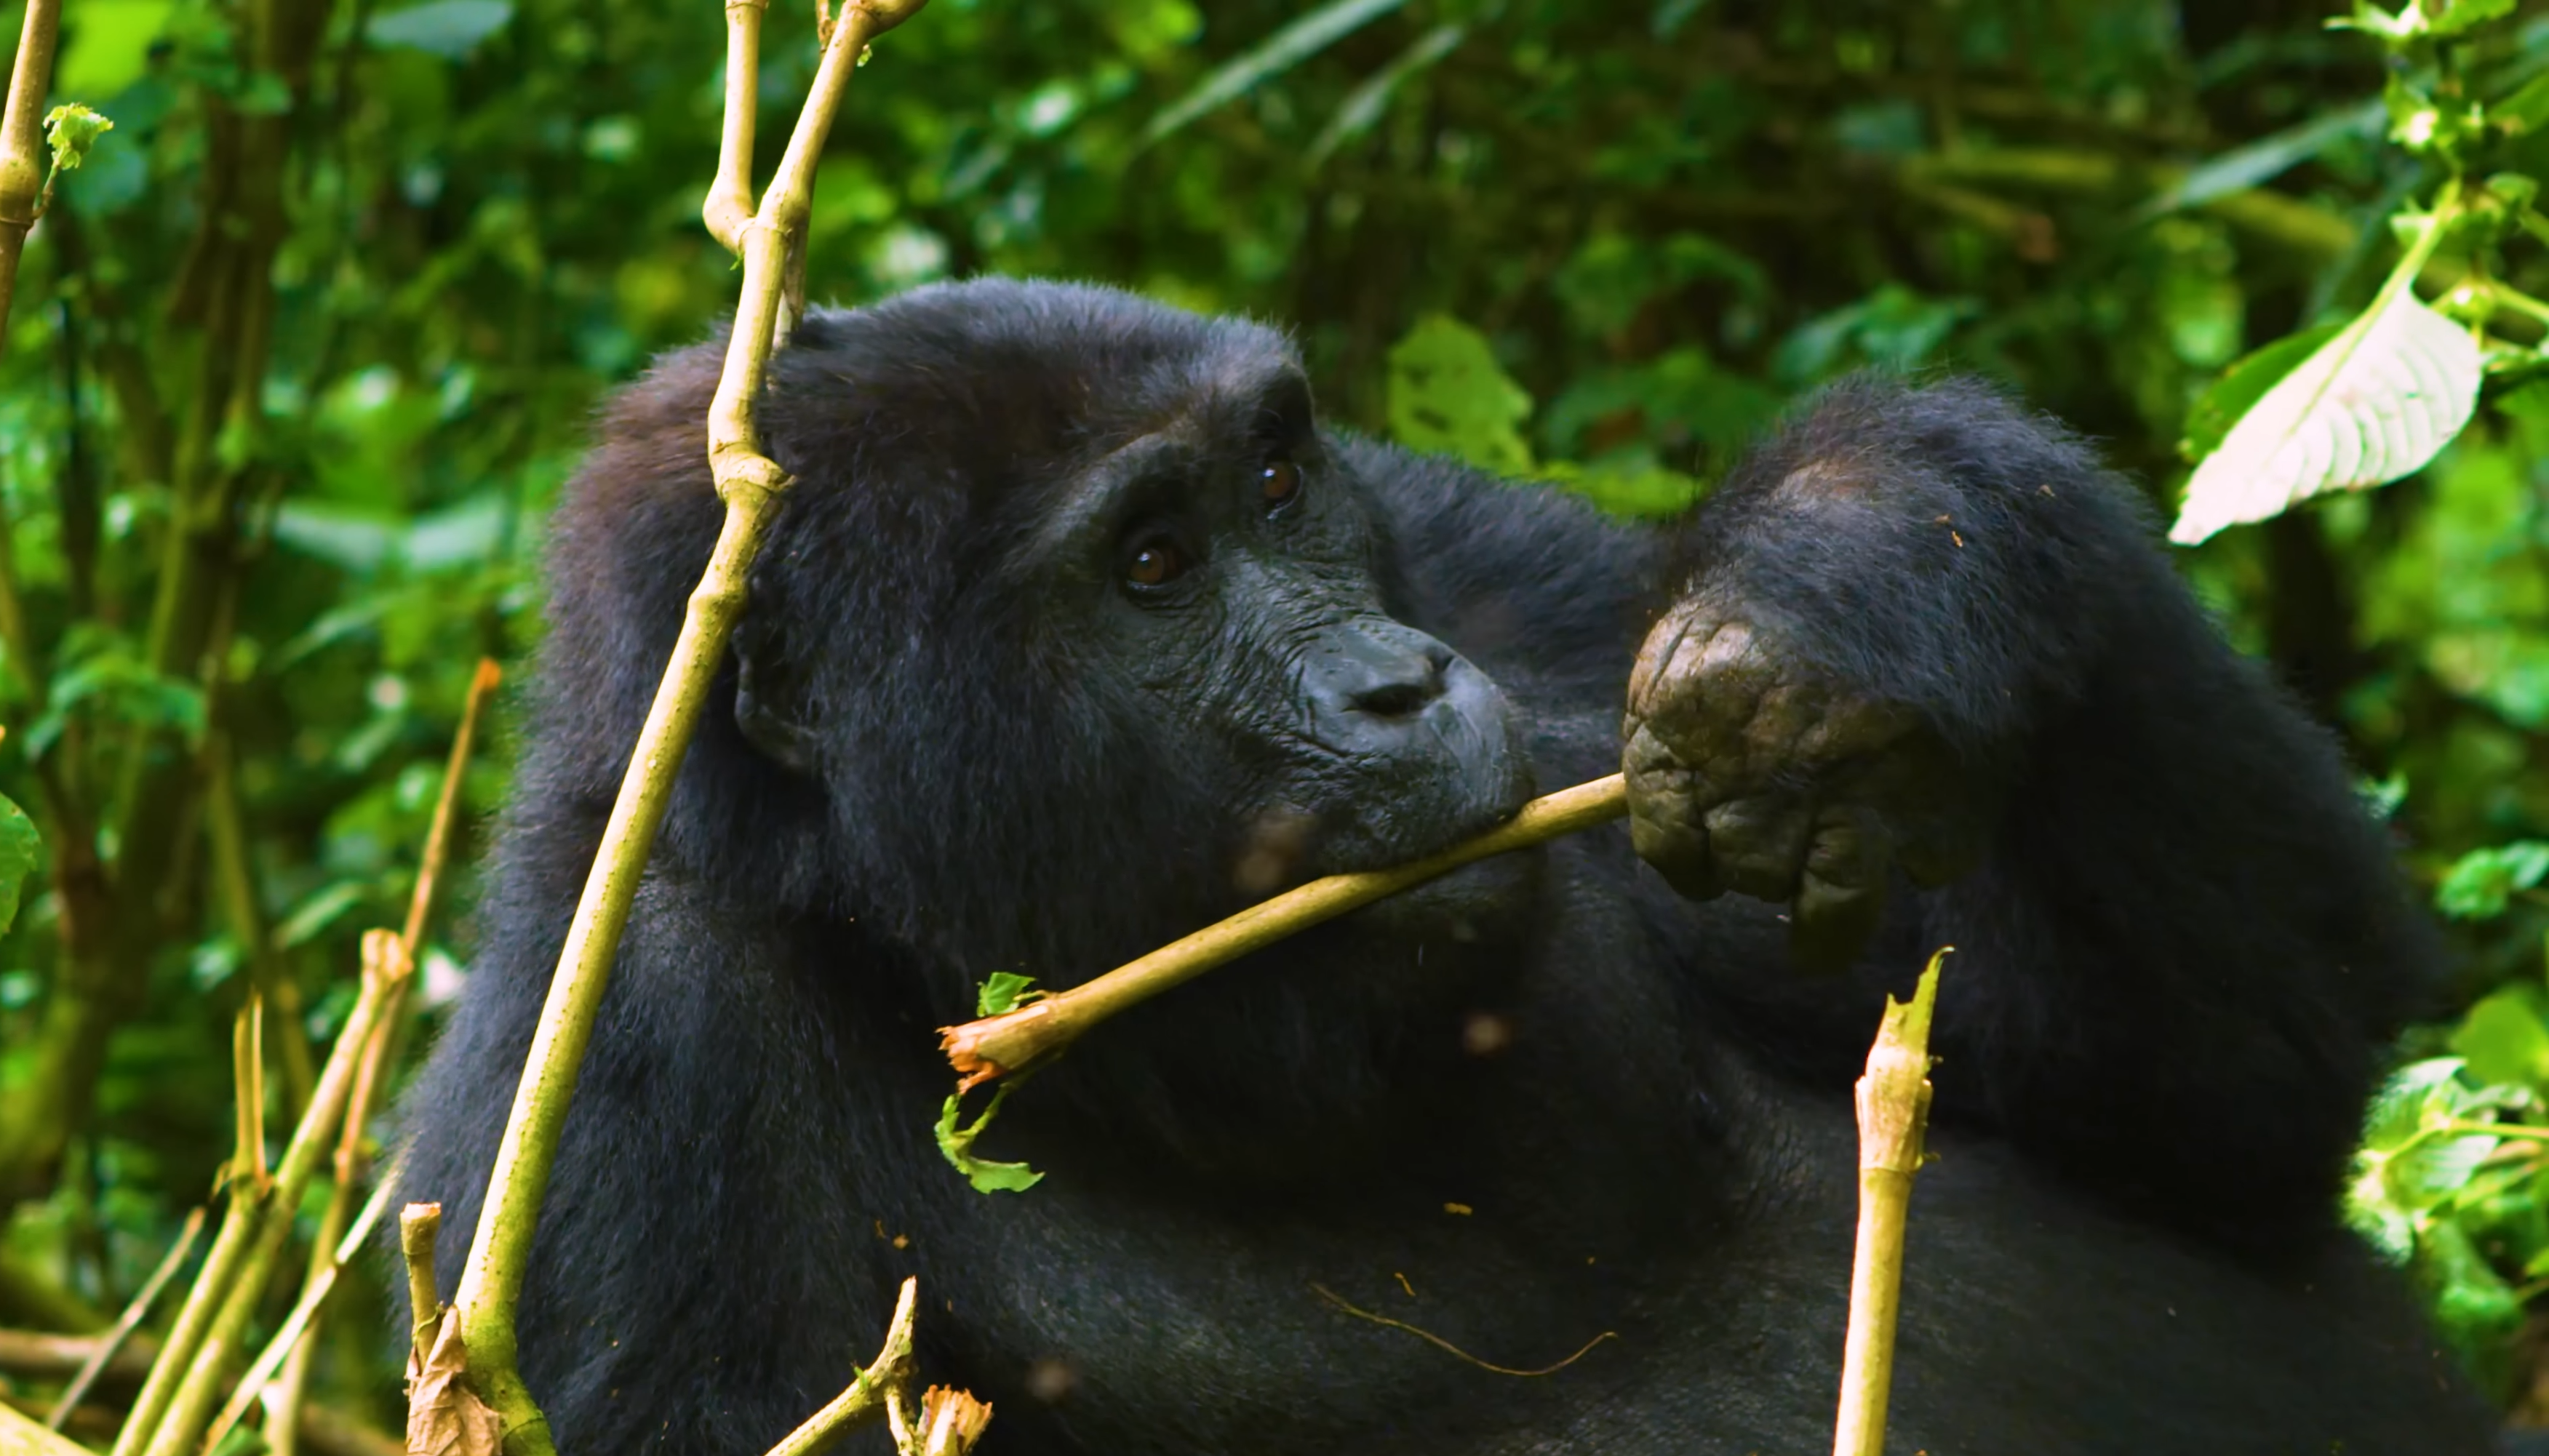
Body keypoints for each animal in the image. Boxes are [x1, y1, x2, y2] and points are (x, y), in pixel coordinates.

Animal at [392, 279, 2487, 1448]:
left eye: (1273, 484)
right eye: (1149, 565)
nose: (1400, 688)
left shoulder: (1472, 549)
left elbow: (2239, 1114)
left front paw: (1865, 557)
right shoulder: (606, 1121)